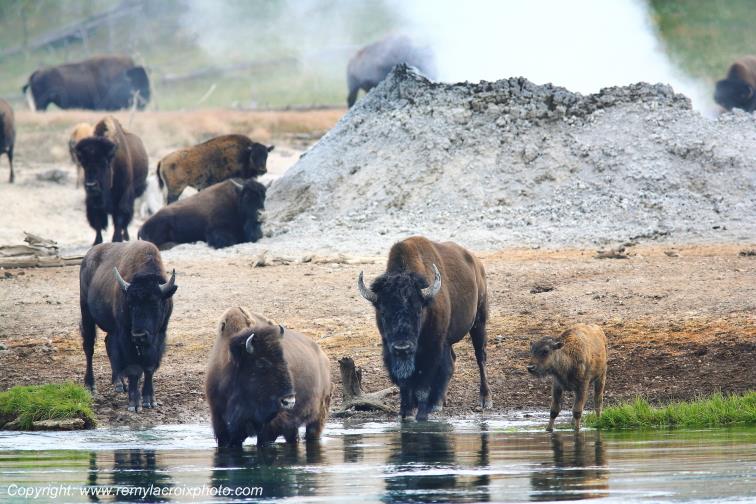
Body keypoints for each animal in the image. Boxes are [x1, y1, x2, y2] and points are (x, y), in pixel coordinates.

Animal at [75, 116, 148, 245]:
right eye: (84, 163)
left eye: (104, 163)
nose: (91, 185)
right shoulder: (92, 200)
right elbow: (97, 220)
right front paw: (97, 241)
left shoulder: (123, 194)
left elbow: (119, 216)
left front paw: (117, 239)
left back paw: (126, 237)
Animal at [79, 241, 177, 411]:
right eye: (130, 304)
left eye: (155, 303)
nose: (139, 335)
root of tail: (88, 257)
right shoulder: (126, 335)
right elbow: (134, 368)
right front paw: (134, 403)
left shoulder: (159, 335)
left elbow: (149, 367)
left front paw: (149, 400)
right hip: (87, 314)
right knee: (89, 348)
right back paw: (91, 385)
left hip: (112, 329)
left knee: (108, 344)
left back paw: (119, 384)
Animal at [206, 307, 332, 448]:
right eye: (261, 363)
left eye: (285, 360)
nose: (289, 401)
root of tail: (323, 356)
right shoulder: (222, 427)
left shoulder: (268, 429)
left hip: (317, 417)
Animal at [358, 236, 491, 420]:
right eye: (383, 312)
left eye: (419, 310)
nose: (402, 347)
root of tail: (477, 264)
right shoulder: (390, 350)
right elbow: (405, 384)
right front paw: (406, 411)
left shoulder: (432, 347)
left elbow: (424, 383)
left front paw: (423, 412)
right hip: (449, 340)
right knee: (452, 362)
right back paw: (440, 401)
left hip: (479, 321)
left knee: (480, 357)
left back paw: (484, 400)